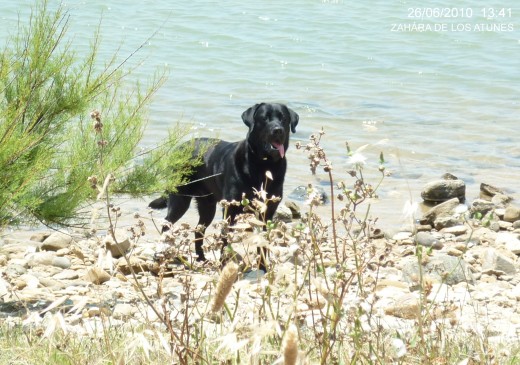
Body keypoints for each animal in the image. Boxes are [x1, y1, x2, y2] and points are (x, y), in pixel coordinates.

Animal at [148, 102, 298, 270]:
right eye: (265, 118)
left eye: (283, 119)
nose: (278, 130)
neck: (264, 165)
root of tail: (179, 148)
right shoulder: (230, 209)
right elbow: (225, 238)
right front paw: (224, 264)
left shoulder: (268, 212)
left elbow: (263, 242)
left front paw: (263, 267)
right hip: (180, 200)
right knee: (166, 224)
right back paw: (162, 253)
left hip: (207, 206)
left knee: (198, 230)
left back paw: (201, 258)